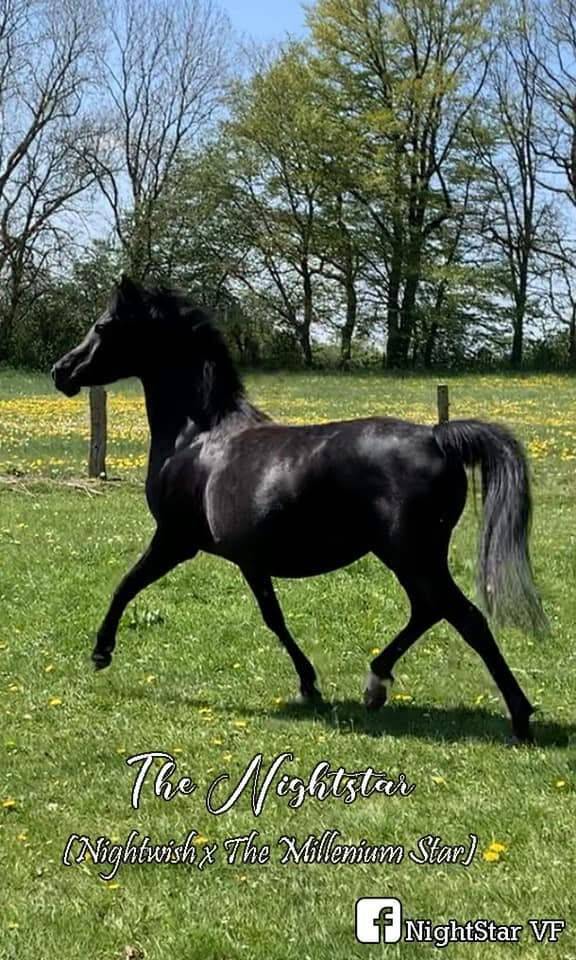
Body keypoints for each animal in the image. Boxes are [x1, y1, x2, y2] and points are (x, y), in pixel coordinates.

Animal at [52, 274, 547, 743]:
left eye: (103, 326)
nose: (61, 371)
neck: (196, 437)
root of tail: (436, 436)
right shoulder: (248, 559)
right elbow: (273, 616)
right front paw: (309, 684)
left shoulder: (177, 541)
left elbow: (127, 585)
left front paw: (101, 651)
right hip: (410, 558)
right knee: (428, 611)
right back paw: (376, 685)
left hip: (412, 555)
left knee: (464, 617)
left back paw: (519, 716)